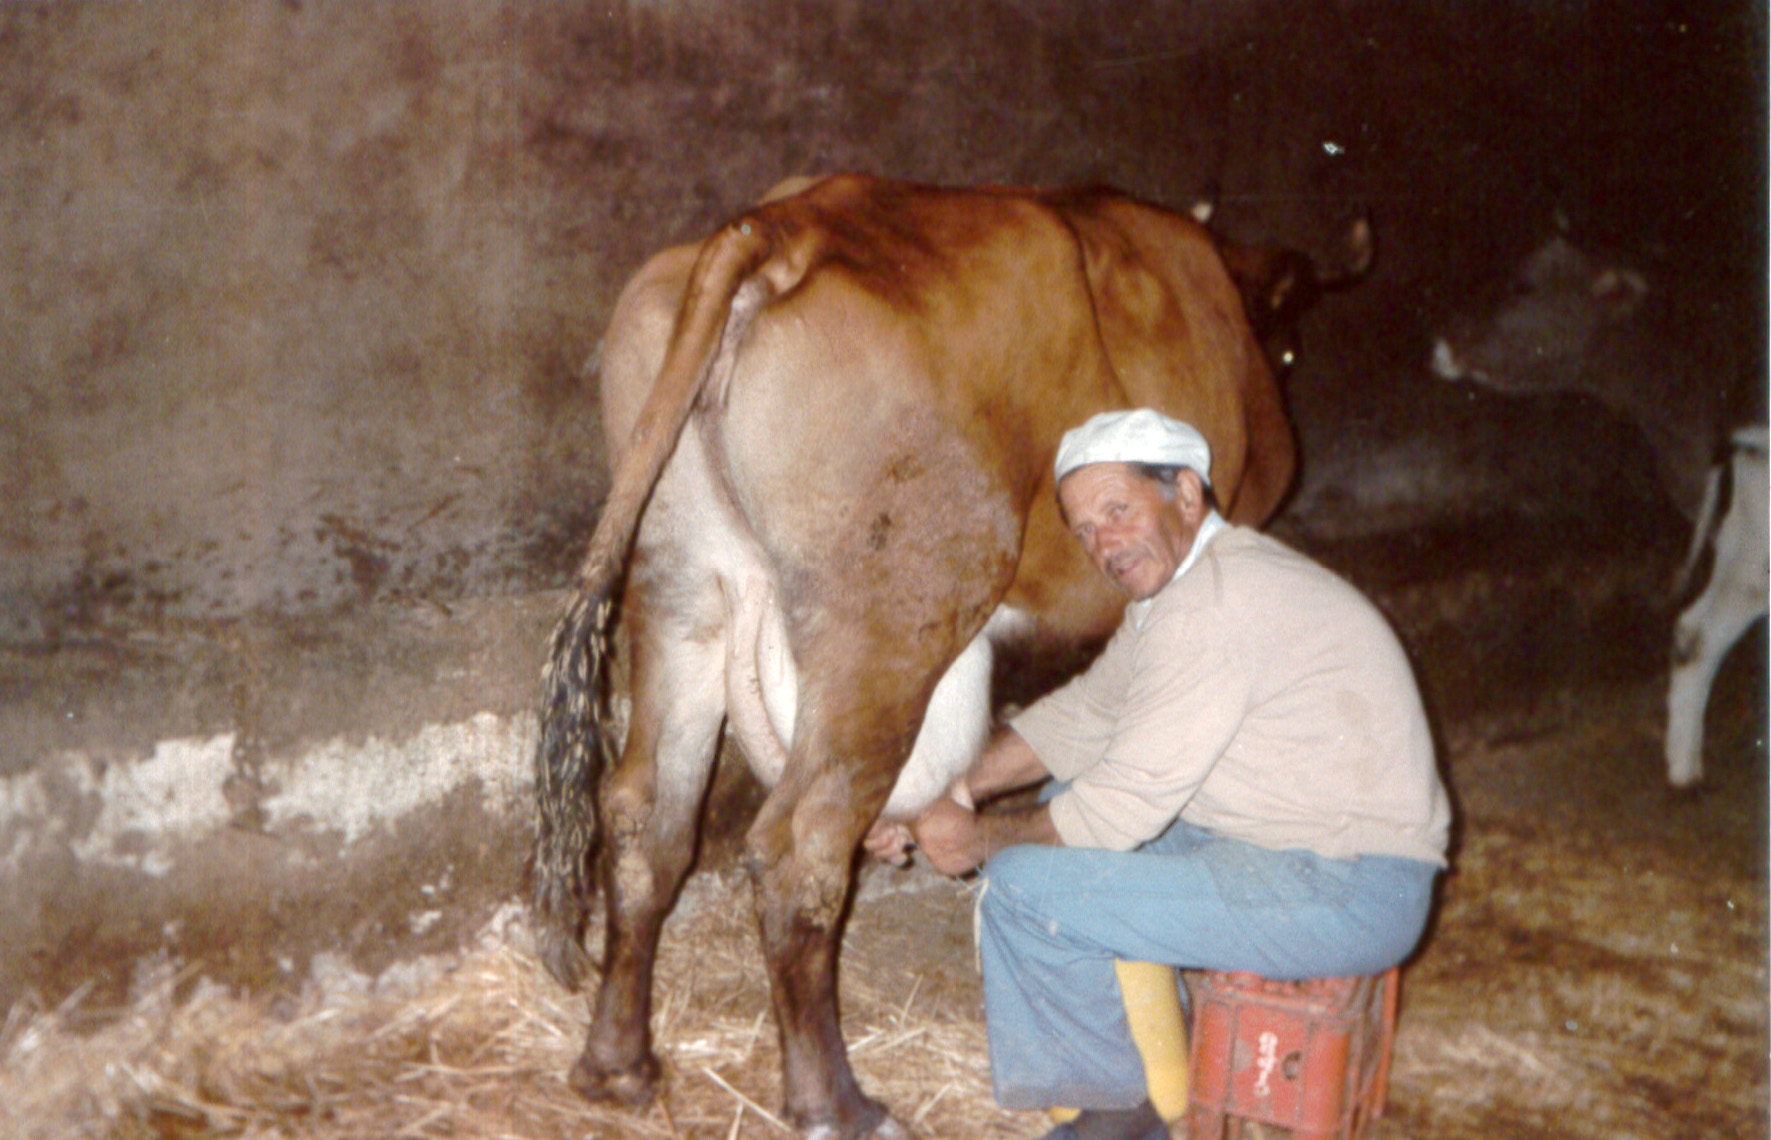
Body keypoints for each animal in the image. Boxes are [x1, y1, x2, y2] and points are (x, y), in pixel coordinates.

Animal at [531, 171, 1296, 1140]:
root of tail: (784, 223)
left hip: (681, 588)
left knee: (647, 817)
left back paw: (617, 1066)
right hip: (886, 632)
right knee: (800, 847)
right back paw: (834, 1105)